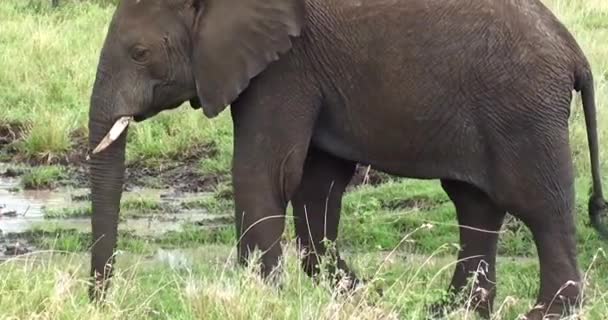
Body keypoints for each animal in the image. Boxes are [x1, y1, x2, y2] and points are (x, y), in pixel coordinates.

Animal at [86, 0, 608, 318]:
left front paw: (265, 299)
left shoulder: (285, 66)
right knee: (476, 206)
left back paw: (547, 313)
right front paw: (365, 296)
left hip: (524, 112)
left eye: (139, 53)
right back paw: (450, 310)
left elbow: (266, 173)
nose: (98, 301)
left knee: (540, 207)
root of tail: (574, 52)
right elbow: (316, 183)